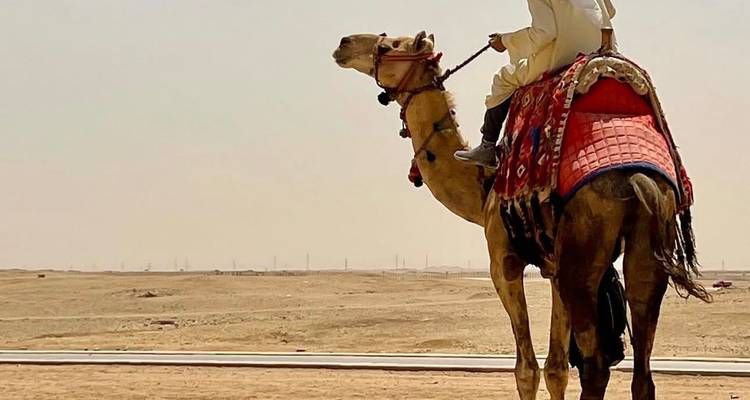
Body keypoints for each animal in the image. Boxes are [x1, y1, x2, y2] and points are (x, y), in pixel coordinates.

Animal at [333, 31, 709, 400]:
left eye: (388, 46)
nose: (343, 44)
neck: (485, 181)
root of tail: (637, 179)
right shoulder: (554, 266)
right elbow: (557, 368)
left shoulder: (505, 261)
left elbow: (527, 370)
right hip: (647, 243)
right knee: (642, 372)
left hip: (584, 254)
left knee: (596, 367)